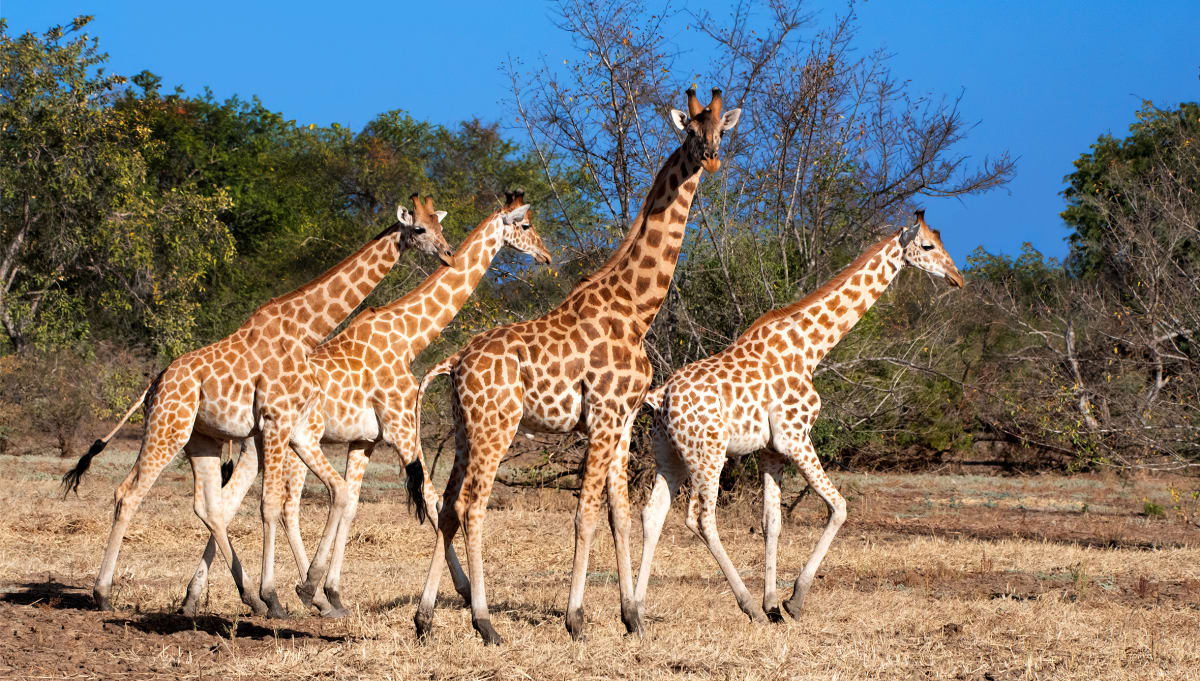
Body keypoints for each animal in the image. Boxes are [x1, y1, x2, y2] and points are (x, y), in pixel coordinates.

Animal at [61, 195, 454, 618]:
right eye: (420, 229)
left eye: (439, 226)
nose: (448, 254)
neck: (304, 331)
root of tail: (155, 383)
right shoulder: (276, 421)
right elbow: (270, 505)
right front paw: (278, 596)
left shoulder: (286, 427)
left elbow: (305, 498)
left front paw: (287, 593)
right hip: (168, 429)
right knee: (128, 493)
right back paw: (103, 594)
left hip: (202, 440)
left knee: (209, 507)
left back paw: (238, 595)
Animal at [180, 191, 552, 617]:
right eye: (525, 225)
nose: (545, 256)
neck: (409, 337)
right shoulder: (402, 427)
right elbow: (430, 498)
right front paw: (460, 589)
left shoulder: (366, 440)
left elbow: (354, 502)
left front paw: (331, 591)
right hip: (291, 444)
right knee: (279, 505)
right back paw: (262, 594)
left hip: (257, 444)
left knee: (228, 503)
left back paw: (198, 597)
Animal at [412, 88, 742, 644]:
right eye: (691, 131)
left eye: (722, 129)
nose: (713, 158)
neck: (635, 310)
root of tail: (455, 362)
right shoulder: (604, 417)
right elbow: (584, 515)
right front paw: (576, 618)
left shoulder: (624, 421)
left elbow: (620, 516)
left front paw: (633, 618)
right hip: (497, 428)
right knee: (472, 505)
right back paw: (485, 623)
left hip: (464, 430)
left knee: (448, 507)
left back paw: (425, 618)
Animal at [631, 211, 963, 630]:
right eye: (928, 246)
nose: (957, 277)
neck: (811, 347)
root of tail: (660, 397)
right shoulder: (795, 436)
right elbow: (839, 507)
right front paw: (793, 600)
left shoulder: (771, 449)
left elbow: (772, 521)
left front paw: (774, 604)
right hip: (707, 454)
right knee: (700, 518)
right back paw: (746, 606)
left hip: (669, 455)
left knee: (652, 514)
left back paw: (635, 614)